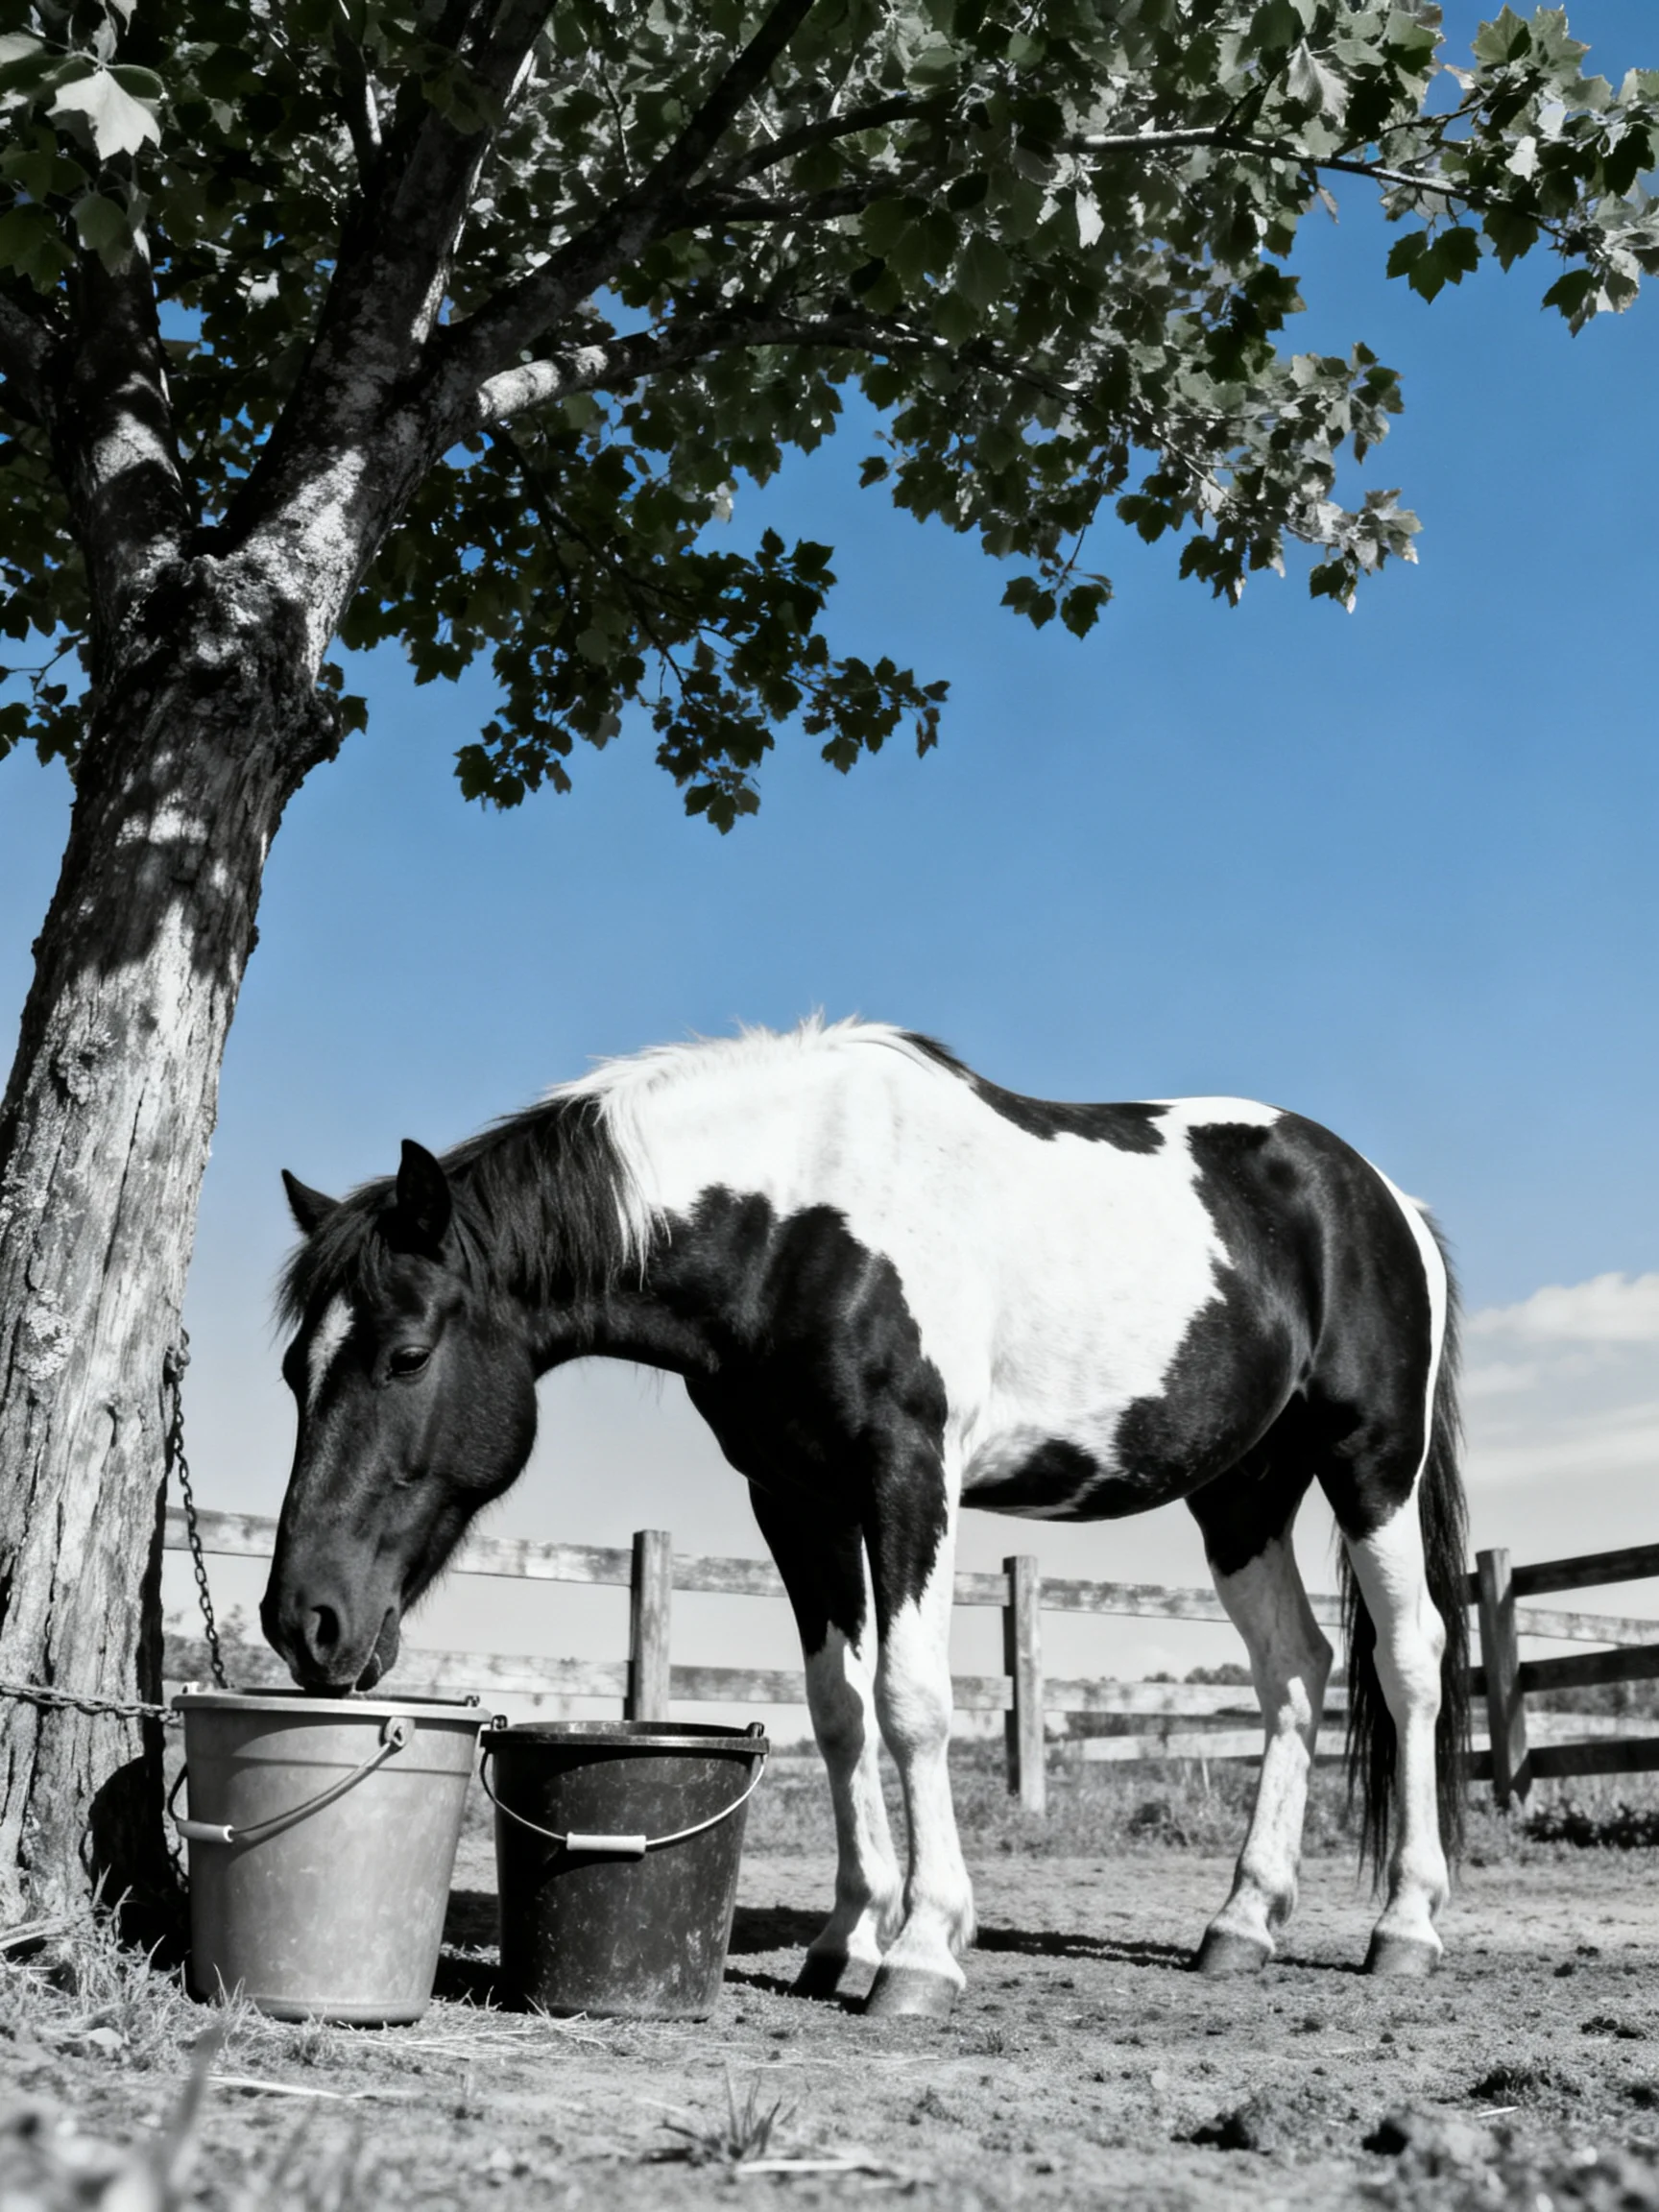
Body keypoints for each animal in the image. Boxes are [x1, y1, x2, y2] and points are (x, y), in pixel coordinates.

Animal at [262, 1018, 1468, 2017]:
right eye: (291, 1370)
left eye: (406, 1356)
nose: (302, 1622)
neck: (796, 1221)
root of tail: (1380, 1198)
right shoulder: (794, 1496)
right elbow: (839, 1710)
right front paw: (848, 1938)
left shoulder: (907, 1475)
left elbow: (912, 1701)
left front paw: (923, 1950)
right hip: (1242, 1493)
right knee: (1295, 1672)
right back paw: (1242, 1923)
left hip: (1371, 1464)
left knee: (1411, 1660)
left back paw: (1406, 1925)